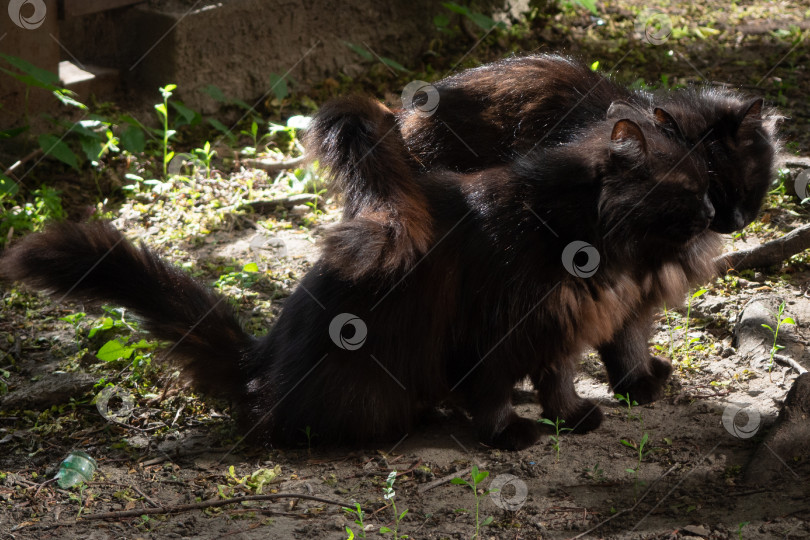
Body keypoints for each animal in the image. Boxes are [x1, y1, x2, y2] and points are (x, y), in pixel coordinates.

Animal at [1, 109, 712, 448]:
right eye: (684, 189)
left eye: (705, 185)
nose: (712, 212)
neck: (591, 243)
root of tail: (259, 370)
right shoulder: (497, 329)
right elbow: (493, 392)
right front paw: (510, 435)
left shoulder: (564, 323)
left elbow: (560, 378)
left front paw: (573, 417)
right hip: (370, 382)